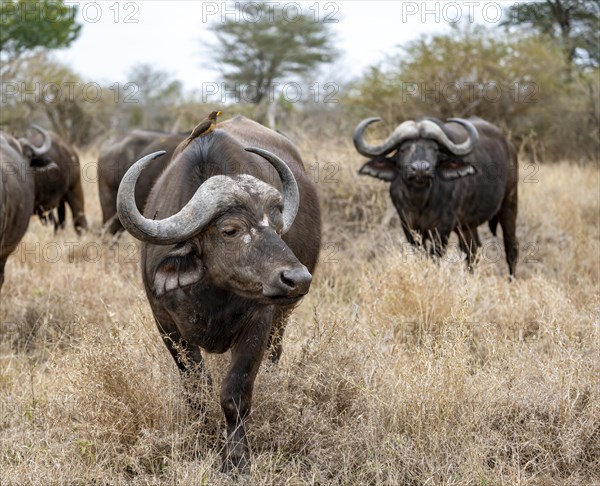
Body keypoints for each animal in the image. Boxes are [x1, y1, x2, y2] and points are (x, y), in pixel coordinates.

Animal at [118, 114, 324, 470]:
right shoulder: (166, 325)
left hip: (282, 318)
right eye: (230, 230)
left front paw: (236, 459)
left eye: (277, 225)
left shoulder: (259, 320)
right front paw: (207, 440)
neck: (213, 294)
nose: (297, 278)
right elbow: (197, 391)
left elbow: (235, 393)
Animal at [354, 114, 516, 274]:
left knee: (511, 247)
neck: (419, 200)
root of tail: (508, 146)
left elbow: (434, 258)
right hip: (467, 225)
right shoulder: (408, 226)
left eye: (434, 149)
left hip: (509, 204)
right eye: (403, 149)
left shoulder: (443, 228)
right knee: (472, 252)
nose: (420, 169)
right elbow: (419, 255)